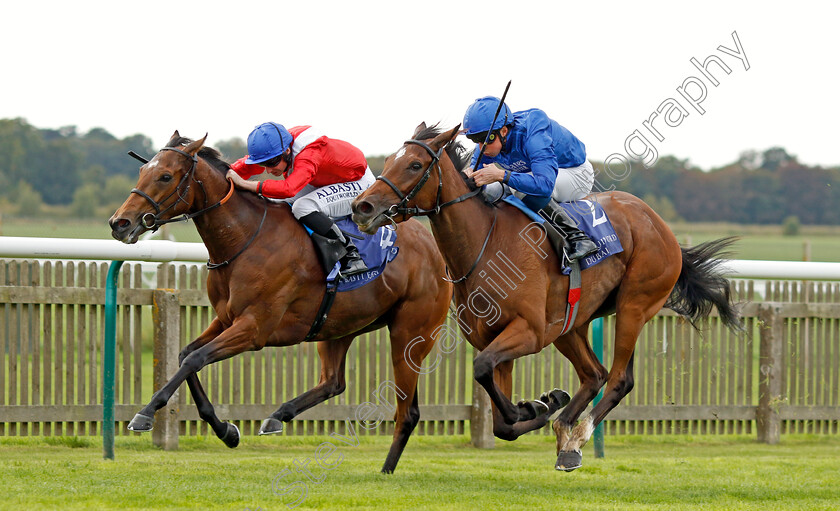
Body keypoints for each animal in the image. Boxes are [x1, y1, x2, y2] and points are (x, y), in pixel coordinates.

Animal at [111, 133, 456, 476]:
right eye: (142, 172)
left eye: (165, 176)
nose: (119, 223)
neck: (245, 239)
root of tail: (435, 249)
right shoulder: (226, 320)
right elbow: (186, 355)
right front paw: (227, 432)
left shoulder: (253, 329)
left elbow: (195, 359)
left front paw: (145, 413)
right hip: (338, 326)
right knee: (333, 383)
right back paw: (278, 416)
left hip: (409, 334)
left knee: (407, 411)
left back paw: (386, 468)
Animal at [352, 124, 740, 472]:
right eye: (390, 160)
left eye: (415, 165)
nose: (362, 207)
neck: (485, 244)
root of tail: (660, 226)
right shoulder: (492, 337)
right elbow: (499, 419)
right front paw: (541, 405)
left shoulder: (530, 331)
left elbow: (483, 372)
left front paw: (533, 406)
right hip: (570, 322)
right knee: (594, 374)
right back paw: (565, 431)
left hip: (634, 305)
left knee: (618, 379)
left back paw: (576, 438)